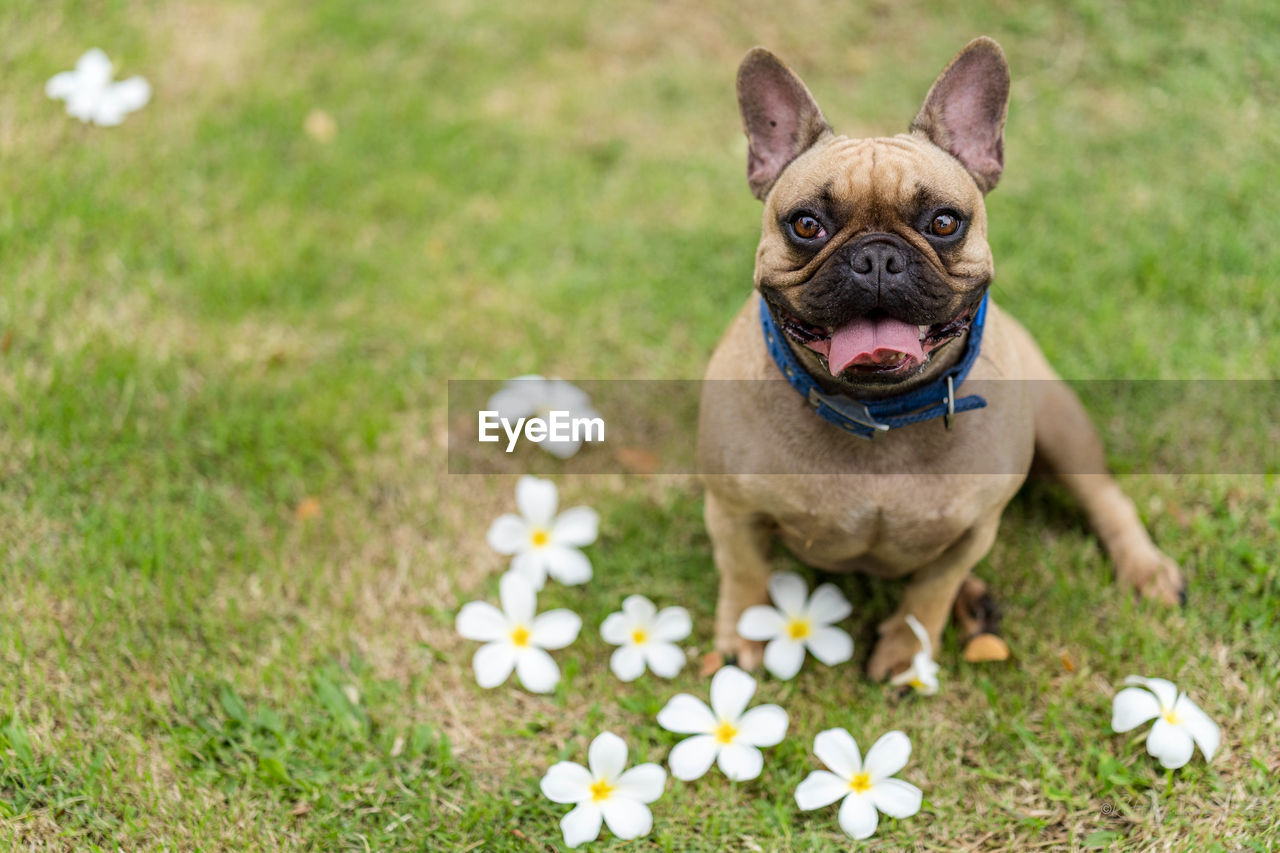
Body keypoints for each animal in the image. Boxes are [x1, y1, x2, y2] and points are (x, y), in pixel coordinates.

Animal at [696, 38, 1182, 676]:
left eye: (944, 222)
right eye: (806, 224)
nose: (876, 257)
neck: (879, 410)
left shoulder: (975, 529)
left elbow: (933, 586)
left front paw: (908, 650)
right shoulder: (732, 510)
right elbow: (744, 571)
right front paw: (744, 634)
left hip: (1060, 421)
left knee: (1105, 497)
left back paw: (1143, 569)